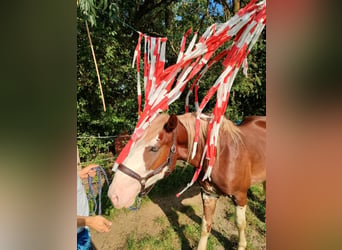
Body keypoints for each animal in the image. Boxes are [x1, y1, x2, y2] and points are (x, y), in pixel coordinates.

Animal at [108, 113, 266, 250]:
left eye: (154, 148)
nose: (114, 194)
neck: (220, 155)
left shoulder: (240, 196)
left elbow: (240, 223)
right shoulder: (209, 194)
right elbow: (205, 226)